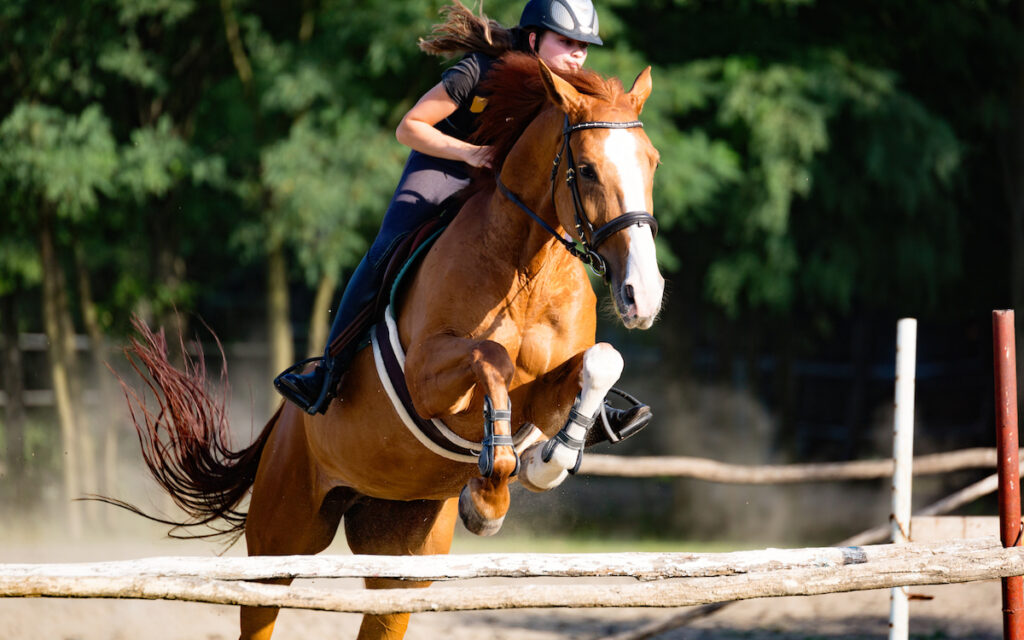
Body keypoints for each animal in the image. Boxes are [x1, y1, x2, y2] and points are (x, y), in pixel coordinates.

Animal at [119, 53, 663, 638]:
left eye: (652, 163)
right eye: (586, 169)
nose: (643, 294)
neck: (528, 268)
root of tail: (281, 427)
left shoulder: (543, 392)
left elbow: (602, 361)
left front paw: (549, 461)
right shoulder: (427, 378)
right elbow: (491, 358)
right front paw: (488, 500)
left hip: (401, 555)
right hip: (280, 537)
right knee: (261, 602)